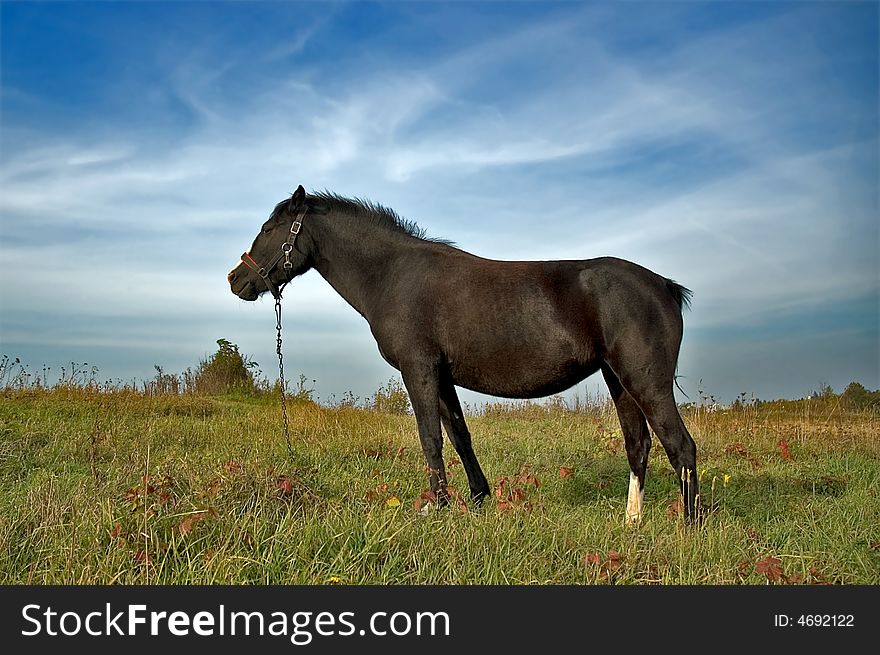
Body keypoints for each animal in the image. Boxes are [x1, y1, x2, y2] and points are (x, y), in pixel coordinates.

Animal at [229, 186, 700, 524]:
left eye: (269, 228)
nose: (236, 279)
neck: (392, 274)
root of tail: (665, 286)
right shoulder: (441, 375)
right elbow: (458, 434)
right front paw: (476, 498)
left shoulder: (419, 369)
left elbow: (430, 437)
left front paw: (435, 505)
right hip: (618, 381)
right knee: (639, 444)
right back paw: (632, 521)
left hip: (646, 383)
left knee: (681, 446)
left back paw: (689, 525)